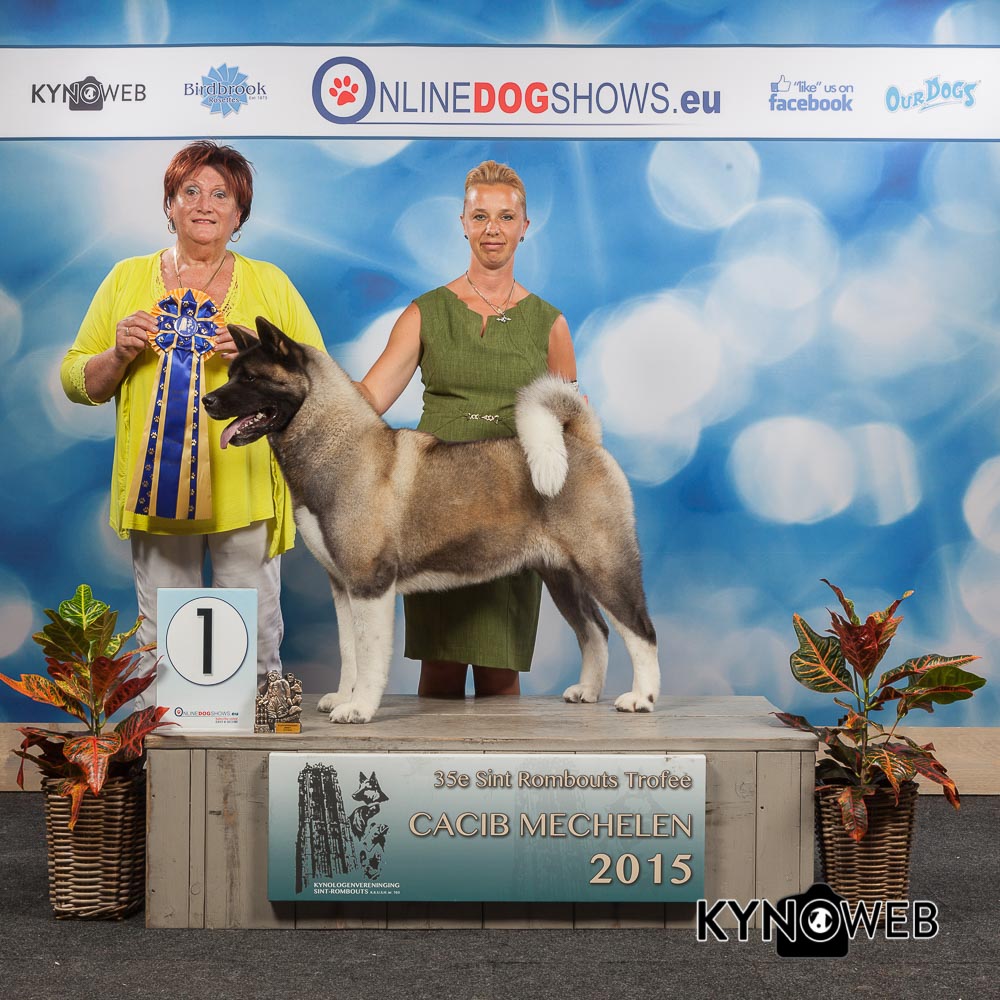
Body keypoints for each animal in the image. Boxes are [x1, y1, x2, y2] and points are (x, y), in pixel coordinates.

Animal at [202, 317, 660, 724]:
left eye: (250, 378)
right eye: (231, 374)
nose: (207, 401)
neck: (335, 444)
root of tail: (580, 439)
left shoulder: (370, 583)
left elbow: (369, 653)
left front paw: (360, 708)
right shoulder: (343, 586)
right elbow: (350, 651)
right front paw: (344, 697)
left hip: (605, 565)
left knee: (640, 630)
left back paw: (641, 697)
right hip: (563, 576)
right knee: (595, 631)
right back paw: (589, 691)